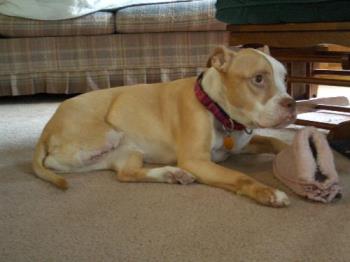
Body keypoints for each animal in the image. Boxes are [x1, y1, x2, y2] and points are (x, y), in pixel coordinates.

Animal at [32, 46, 296, 208]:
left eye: (284, 78)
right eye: (258, 79)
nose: (292, 103)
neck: (217, 107)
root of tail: (48, 127)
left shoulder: (242, 144)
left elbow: (274, 140)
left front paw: (290, 153)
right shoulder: (196, 161)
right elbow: (240, 177)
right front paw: (270, 192)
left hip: (125, 152)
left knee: (125, 174)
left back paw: (171, 174)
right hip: (106, 134)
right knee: (53, 162)